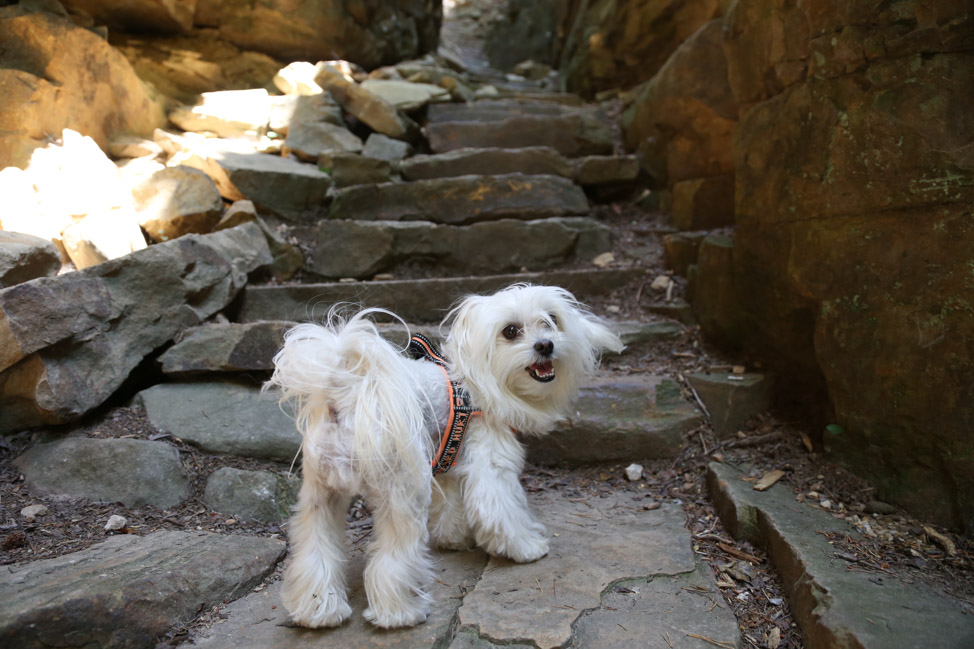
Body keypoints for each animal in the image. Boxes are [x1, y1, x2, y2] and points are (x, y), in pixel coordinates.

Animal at [268, 284, 616, 628]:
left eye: (552, 320)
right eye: (510, 331)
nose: (546, 345)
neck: (475, 384)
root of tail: (346, 394)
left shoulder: (449, 461)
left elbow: (452, 507)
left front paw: (453, 538)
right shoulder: (490, 465)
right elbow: (501, 512)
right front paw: (527, 547)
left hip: (320, 495)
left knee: (315, 549)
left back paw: (319, 611)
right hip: (401, 492)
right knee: (393, 556)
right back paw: (400, 613)